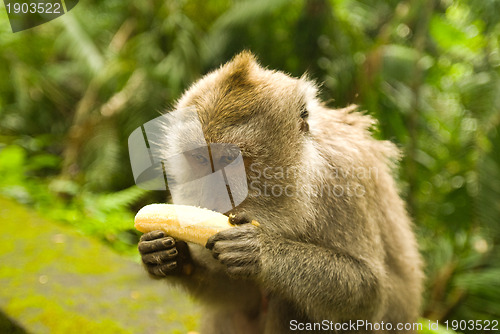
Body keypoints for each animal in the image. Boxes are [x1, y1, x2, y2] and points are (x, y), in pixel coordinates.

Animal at [139, 51, 424, 334]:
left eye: (230, 159)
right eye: (200, 158)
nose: (214, 195)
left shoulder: (345, 179)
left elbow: (369, 293)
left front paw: (262, 251)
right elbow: (242, 296)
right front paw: (172, 257)